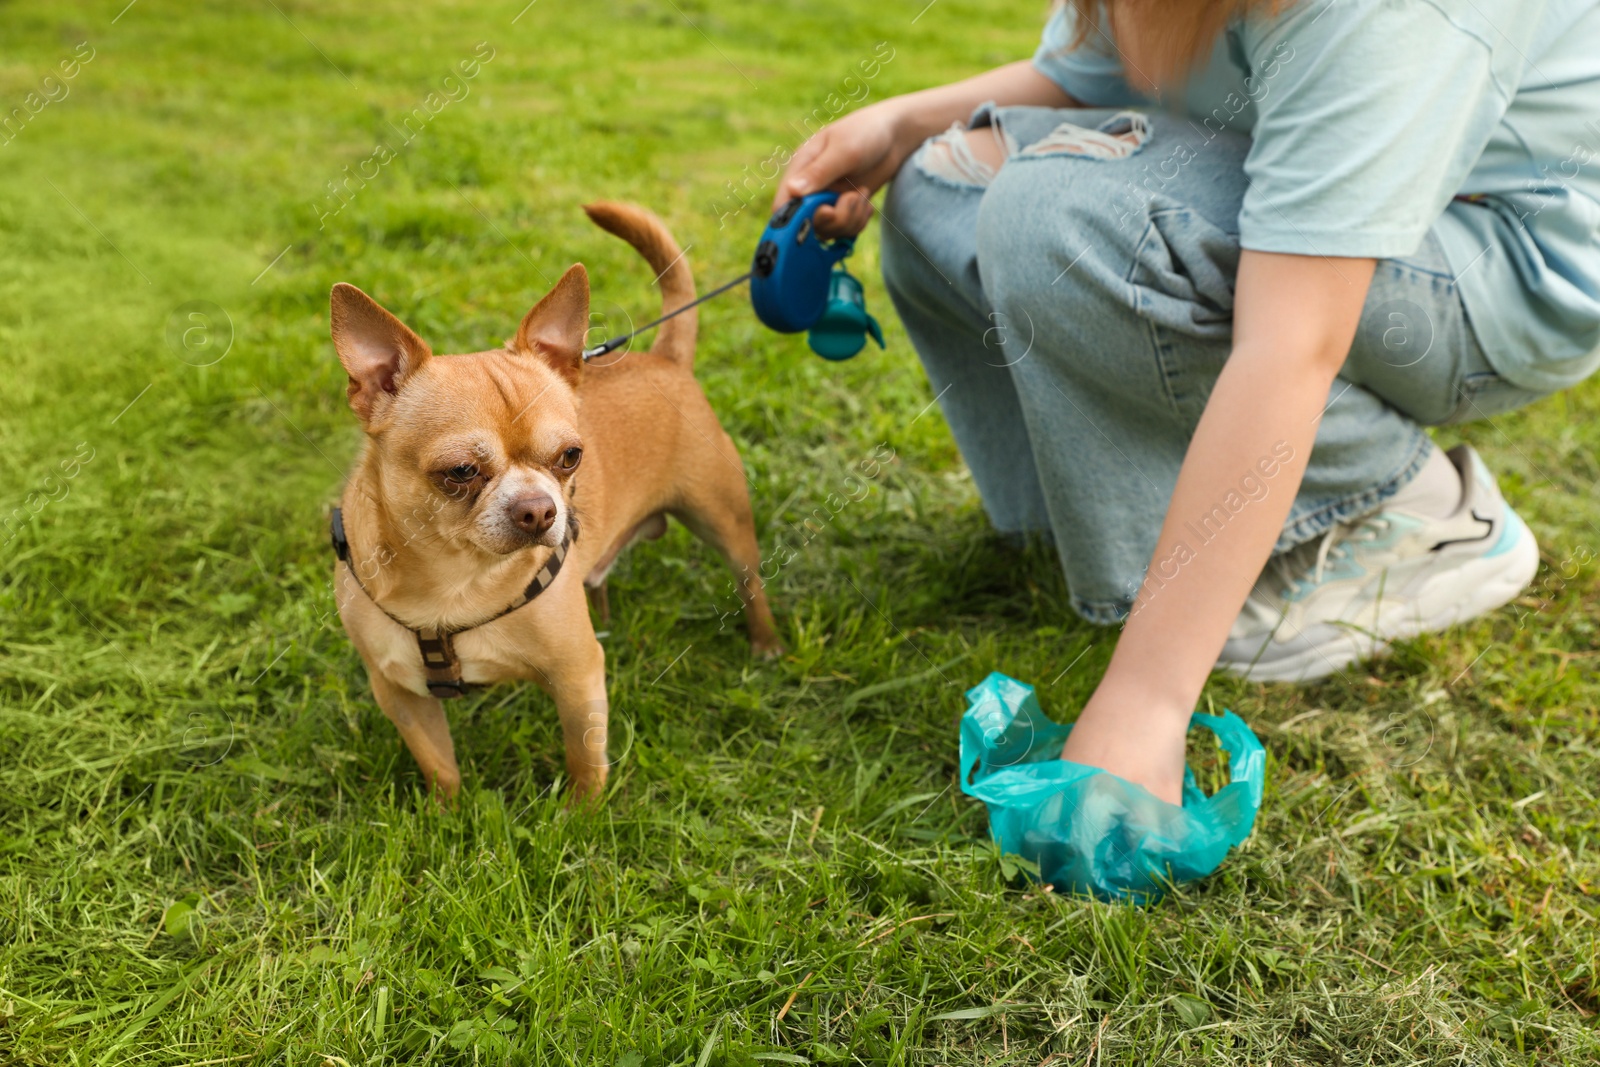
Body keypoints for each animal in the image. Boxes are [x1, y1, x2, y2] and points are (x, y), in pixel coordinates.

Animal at [328, 202, 777, 799]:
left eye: (570, 456)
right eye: (460, 472)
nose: (540, 509)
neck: (455, 583)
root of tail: (666, 359)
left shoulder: (578, 678)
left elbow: (585, 757)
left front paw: (582, 814)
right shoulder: (399, 694)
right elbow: (439, 765)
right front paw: (449, 813)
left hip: (721, 519)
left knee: (750, 582)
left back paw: (766, 642)